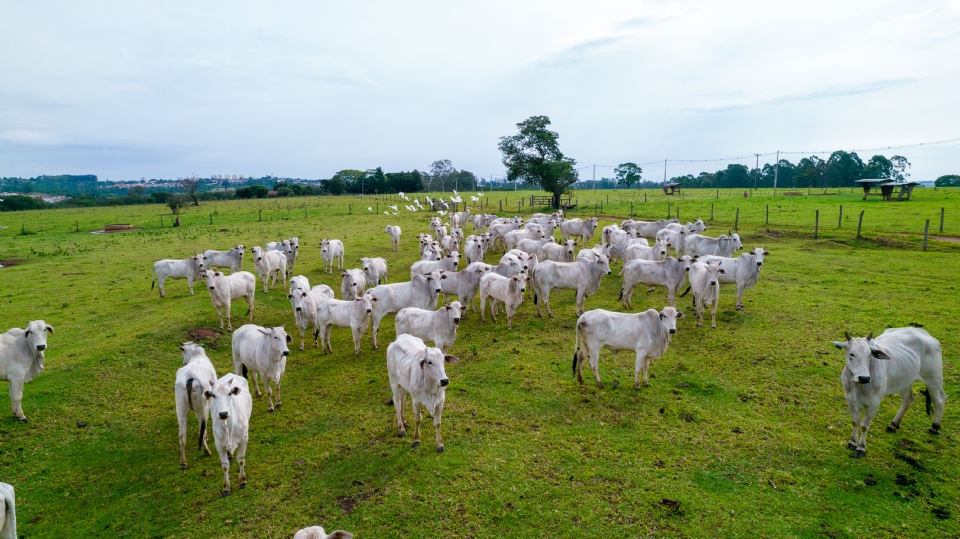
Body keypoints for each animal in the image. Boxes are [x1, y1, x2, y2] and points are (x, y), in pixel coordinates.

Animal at [832, 326, 944, 458]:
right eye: (851, 354)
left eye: (869, 355)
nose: (864, 378)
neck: (857, 385)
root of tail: (925, 334)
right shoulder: (849, 399)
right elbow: (855, 422)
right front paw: (852, 442)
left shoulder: (874, 403)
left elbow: (864, 425)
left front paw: (861, 448)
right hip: (905, 381)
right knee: (907, 400)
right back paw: (893, 424)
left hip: (934, 378)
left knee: (940, 400)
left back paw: (934, 426)